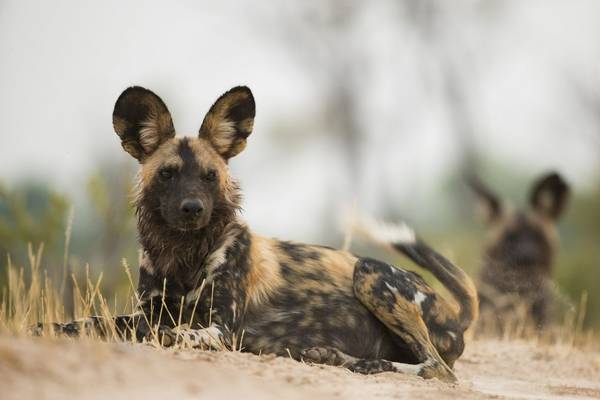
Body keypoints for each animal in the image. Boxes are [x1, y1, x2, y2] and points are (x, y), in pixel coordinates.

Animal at [37, 86, 478, 382]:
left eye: (209, 176)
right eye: (167, 174)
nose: (193, 208)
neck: (182, 256)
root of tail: (454, 312)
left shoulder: (220, 330)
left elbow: (167, 334)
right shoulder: (150, 310)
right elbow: (95, 322)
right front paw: (53, 329)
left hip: (368, 272)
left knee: (436, 370)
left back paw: (370, 363)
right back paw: (328, 354)